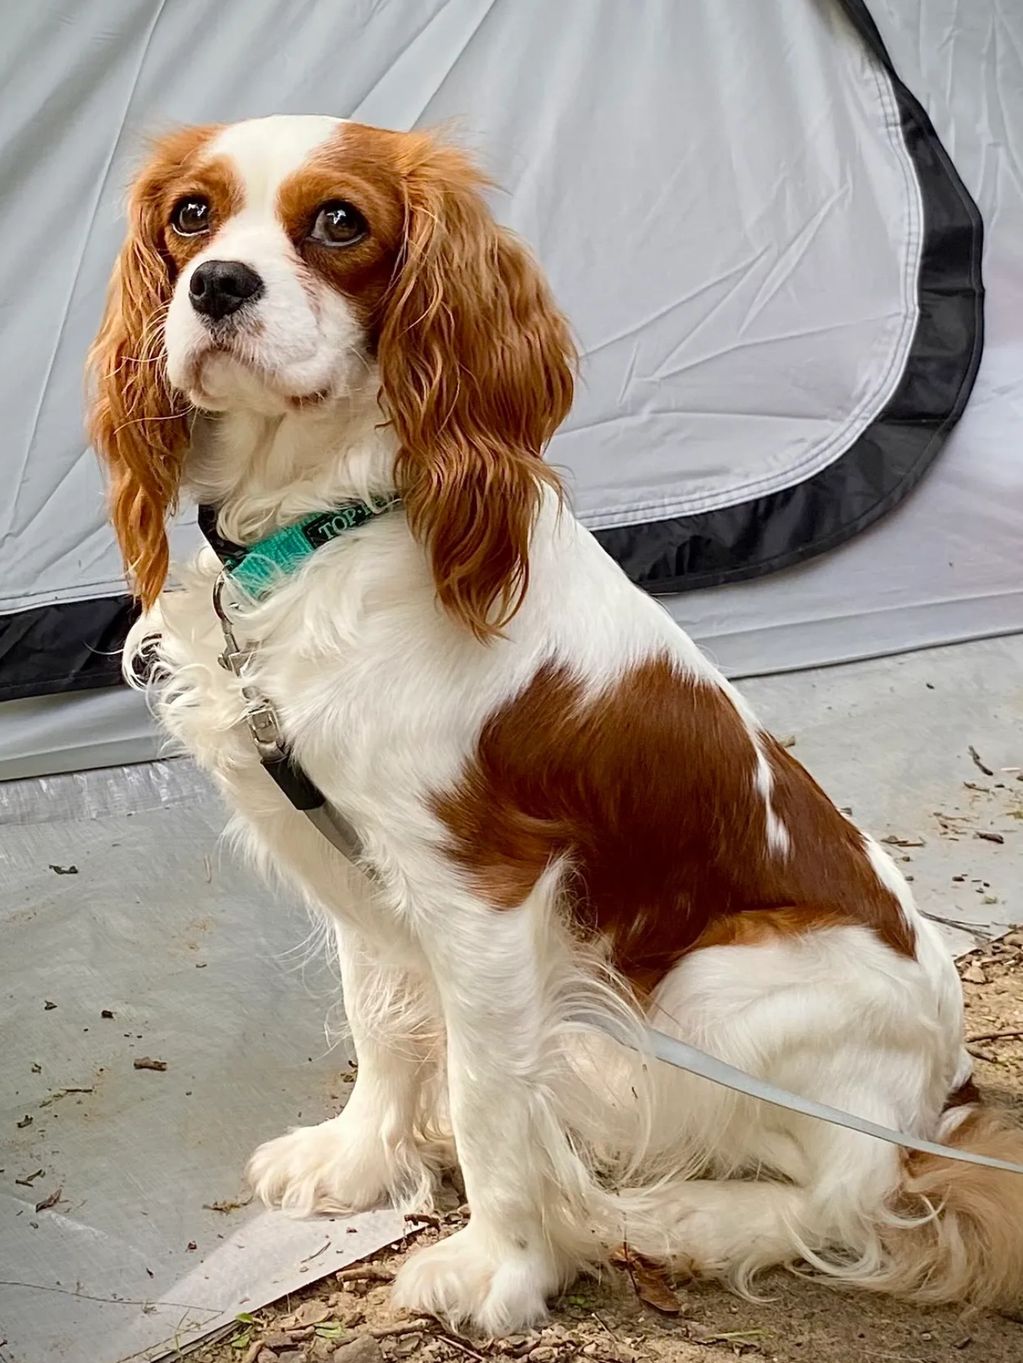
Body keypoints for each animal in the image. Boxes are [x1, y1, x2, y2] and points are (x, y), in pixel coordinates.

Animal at [87, 117, 1023, 1330]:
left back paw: (677, 1218)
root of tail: (944, 1087)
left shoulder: (484, 890)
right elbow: (378, 1016)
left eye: (339, 221)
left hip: (713, 990)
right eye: (190, 217)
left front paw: (501, 1266)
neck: (321, 524)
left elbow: (490, 1102)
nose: (216, 285)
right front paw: (360, 1157)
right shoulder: (360, 854)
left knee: (856, 1190)